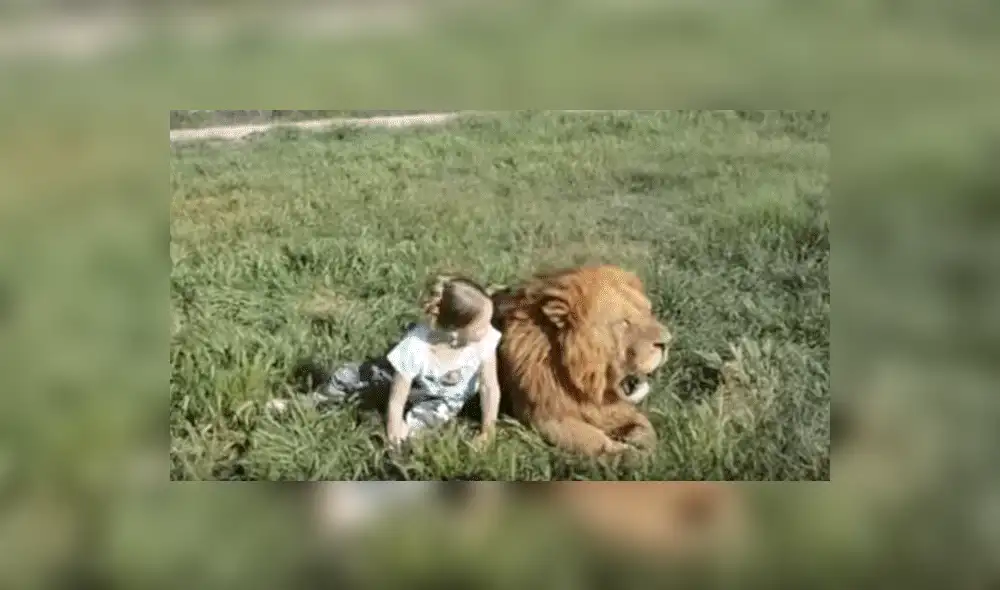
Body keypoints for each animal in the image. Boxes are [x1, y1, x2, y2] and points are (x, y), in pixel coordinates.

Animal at [490, 265, 673, 455]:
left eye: (649, 313)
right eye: (623, 323)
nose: (668, 342)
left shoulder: (609, 410)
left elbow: (647, 427)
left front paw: (640, 439)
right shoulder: (545, 417)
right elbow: (596, 442)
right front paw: (633, 455)